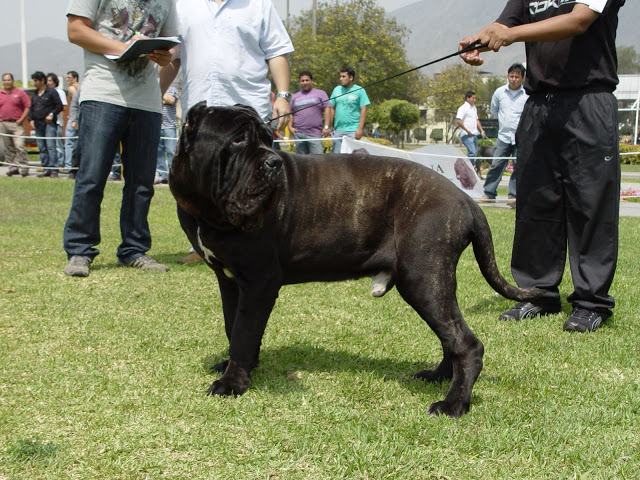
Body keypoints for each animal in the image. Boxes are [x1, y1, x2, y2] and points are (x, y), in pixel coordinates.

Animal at [171, 103, 540, 418]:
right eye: (237, 139)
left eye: (266, 138)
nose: (274, 162)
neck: (210, 211)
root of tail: (467, 201)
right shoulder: (230, 281)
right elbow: (233, 325)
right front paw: (237, 367)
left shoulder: (259, 281)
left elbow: (244, 331)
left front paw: (233, 383)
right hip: (432, 286)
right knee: (451, 338)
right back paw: (437, 377)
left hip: (423, 280)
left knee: (467, 344)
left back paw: (453, 404)